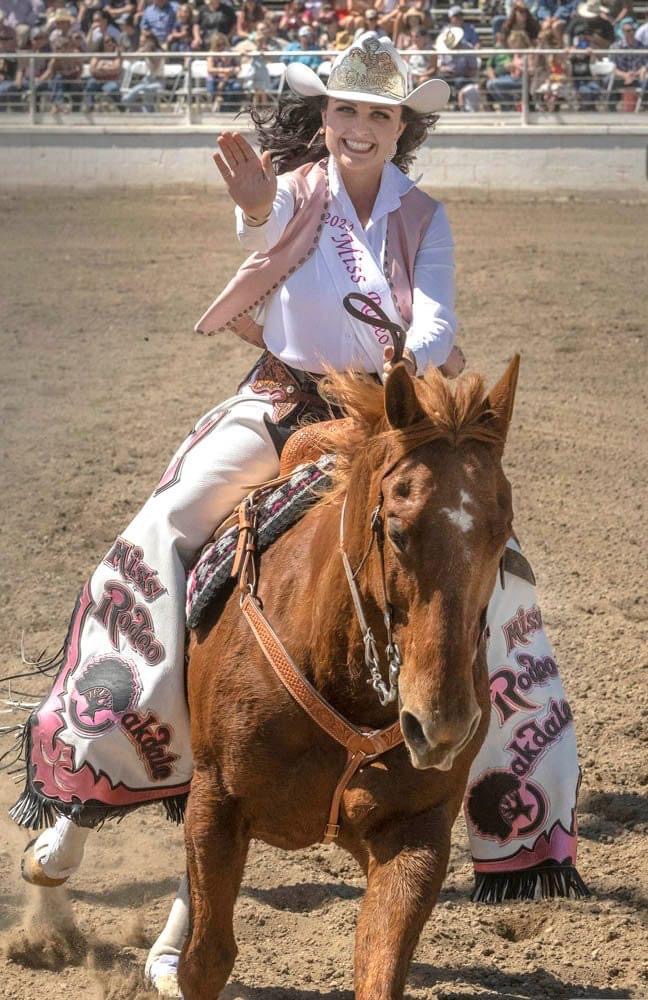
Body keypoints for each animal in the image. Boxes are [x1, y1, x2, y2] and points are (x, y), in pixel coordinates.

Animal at [178, 356, 520, 996]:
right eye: (398, 530)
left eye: (501, 532)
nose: (442, 726)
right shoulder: (214, 802)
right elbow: (205, 958)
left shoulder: (416, 834)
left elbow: (379, 967)